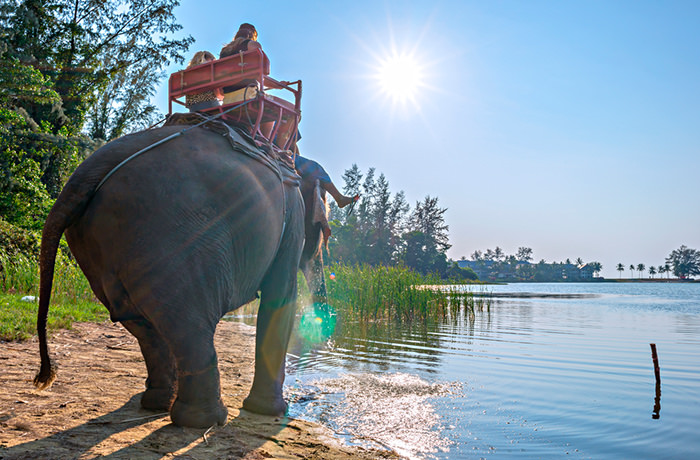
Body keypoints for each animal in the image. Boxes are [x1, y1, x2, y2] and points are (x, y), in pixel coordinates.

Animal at [36, 118, 334, 428]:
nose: (326, 338)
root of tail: (81, 177)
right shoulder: (292, 214)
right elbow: (280, 296)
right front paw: (272, 411)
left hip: (106, 247)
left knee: (143, 322)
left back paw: (158, 404)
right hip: (175, 237)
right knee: (190, 325)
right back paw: (205, 420)